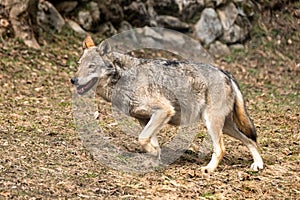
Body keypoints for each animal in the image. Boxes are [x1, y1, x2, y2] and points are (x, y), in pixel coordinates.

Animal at [71, 35, 264, 172]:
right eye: (79, 64)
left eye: (91, 66)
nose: (73, 80)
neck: (123, 79)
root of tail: (225, 72)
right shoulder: (145, 119)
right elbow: (150, 142)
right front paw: (154, 159)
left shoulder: (164, 111)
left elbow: (142, 139)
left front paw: (154, 155)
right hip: (225, 126)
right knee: (250, 140)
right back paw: (258, 165)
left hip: (213, 124)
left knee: (222, 148)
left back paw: (209, 169)